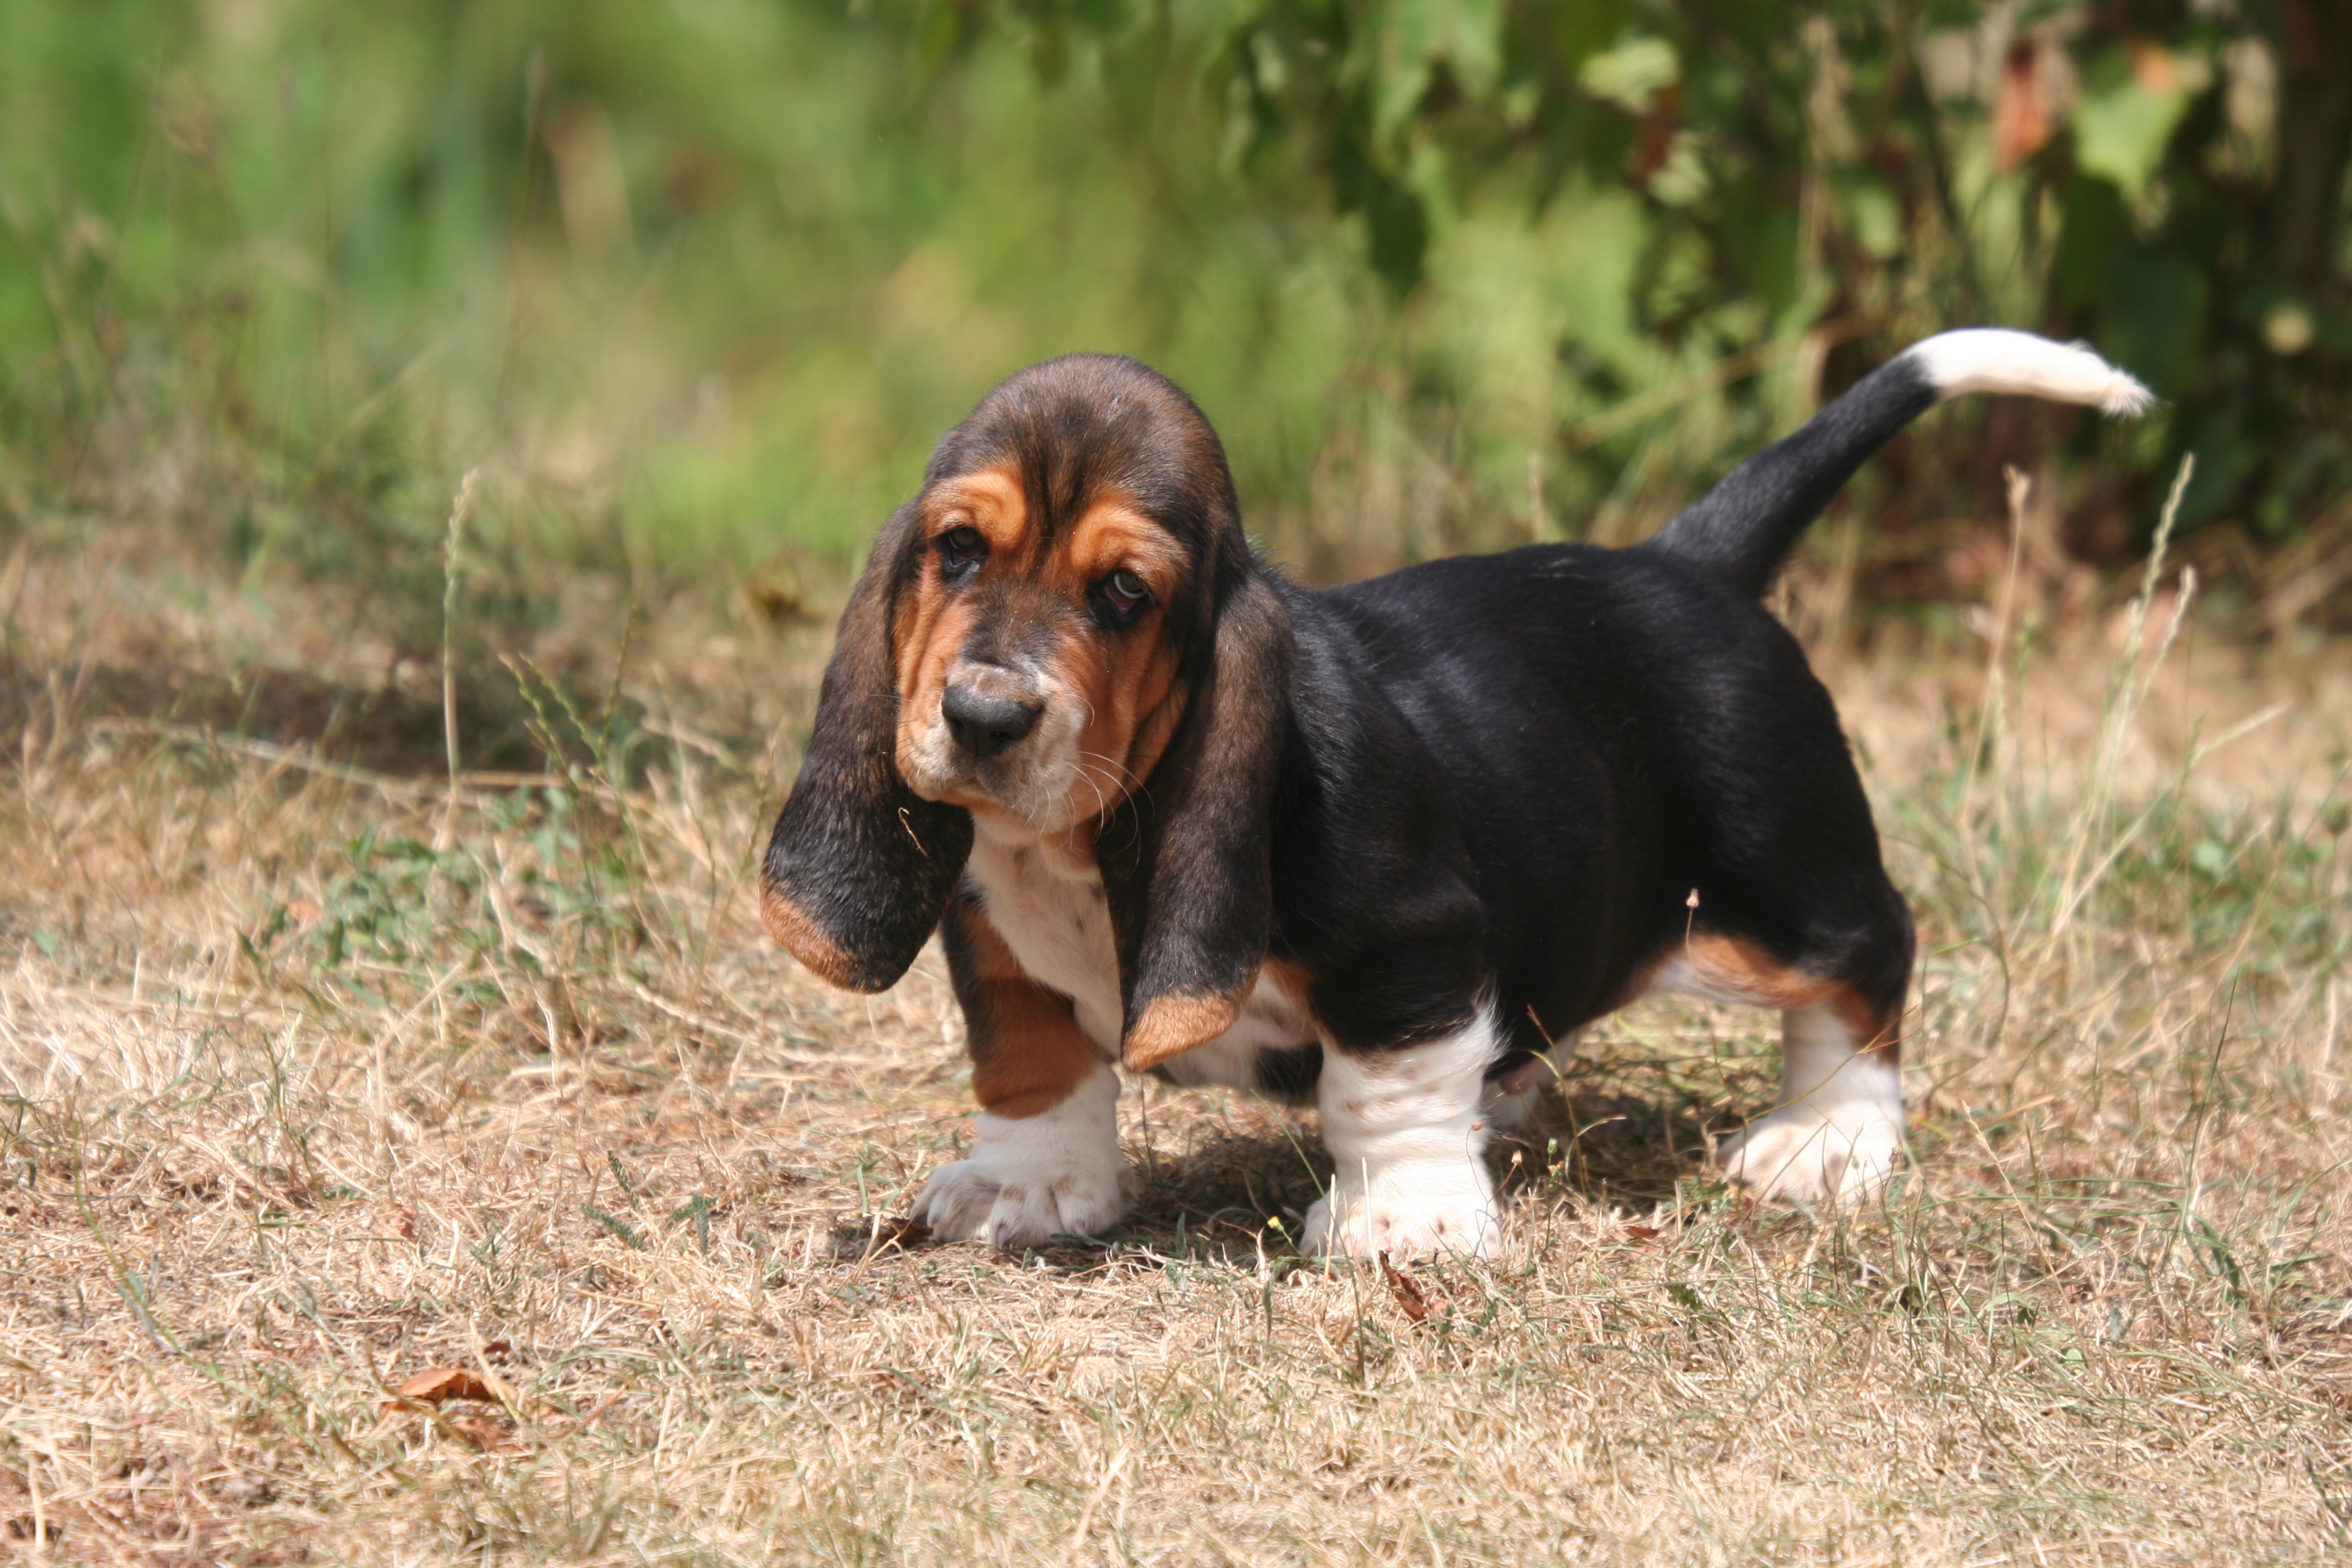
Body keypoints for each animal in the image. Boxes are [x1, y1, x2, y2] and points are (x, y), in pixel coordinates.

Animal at [757, 324, 2154, 1260]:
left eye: (1123, 594)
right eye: (956, 549)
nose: (984, 715)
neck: (1080, 837)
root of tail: (1685, 564)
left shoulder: (1407, 941)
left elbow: (1383, 1082)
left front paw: (1403, 1222)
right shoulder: (992, 931)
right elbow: (1031, 1053)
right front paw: (1030, 1185)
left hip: (1769, 887)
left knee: (1867, 956)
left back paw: (1827, 1139)